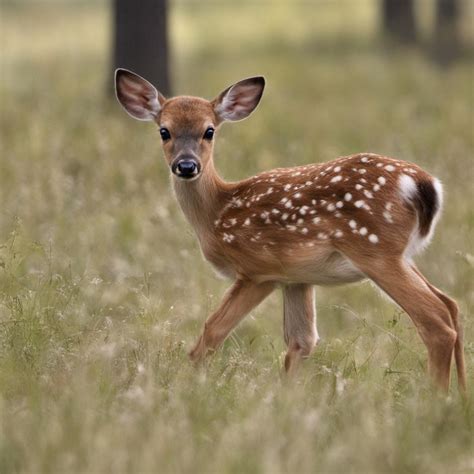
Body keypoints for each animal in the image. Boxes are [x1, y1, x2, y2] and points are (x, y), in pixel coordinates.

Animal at [115, 67, 466, 392]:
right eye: (164, 131)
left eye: (209, 131)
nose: (186, 166)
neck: (218, 212)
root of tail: (423, 184)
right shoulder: (296, 278)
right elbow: (301, 342)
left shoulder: (258, 270)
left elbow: (211, 332)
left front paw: (187, 388)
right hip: (401, 255)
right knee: (451, 304)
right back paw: (460, 396)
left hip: (376, 249)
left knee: (436, 320)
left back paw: (436, 399)